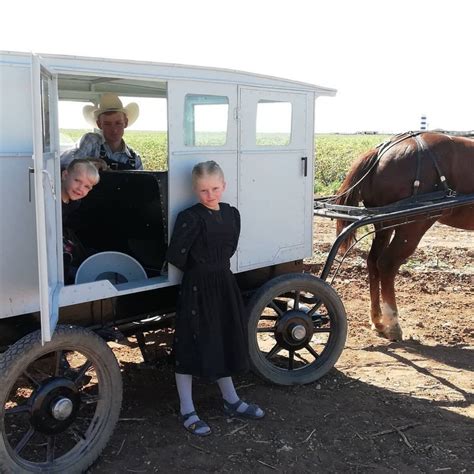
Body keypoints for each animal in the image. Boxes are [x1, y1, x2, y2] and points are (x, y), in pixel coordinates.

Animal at [336, 131, 472, 340]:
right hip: (413, 226)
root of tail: (382, 151)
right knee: (387, 263)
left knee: (373, 261)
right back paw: (393, 324)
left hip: (384, 225)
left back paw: (377, 320)